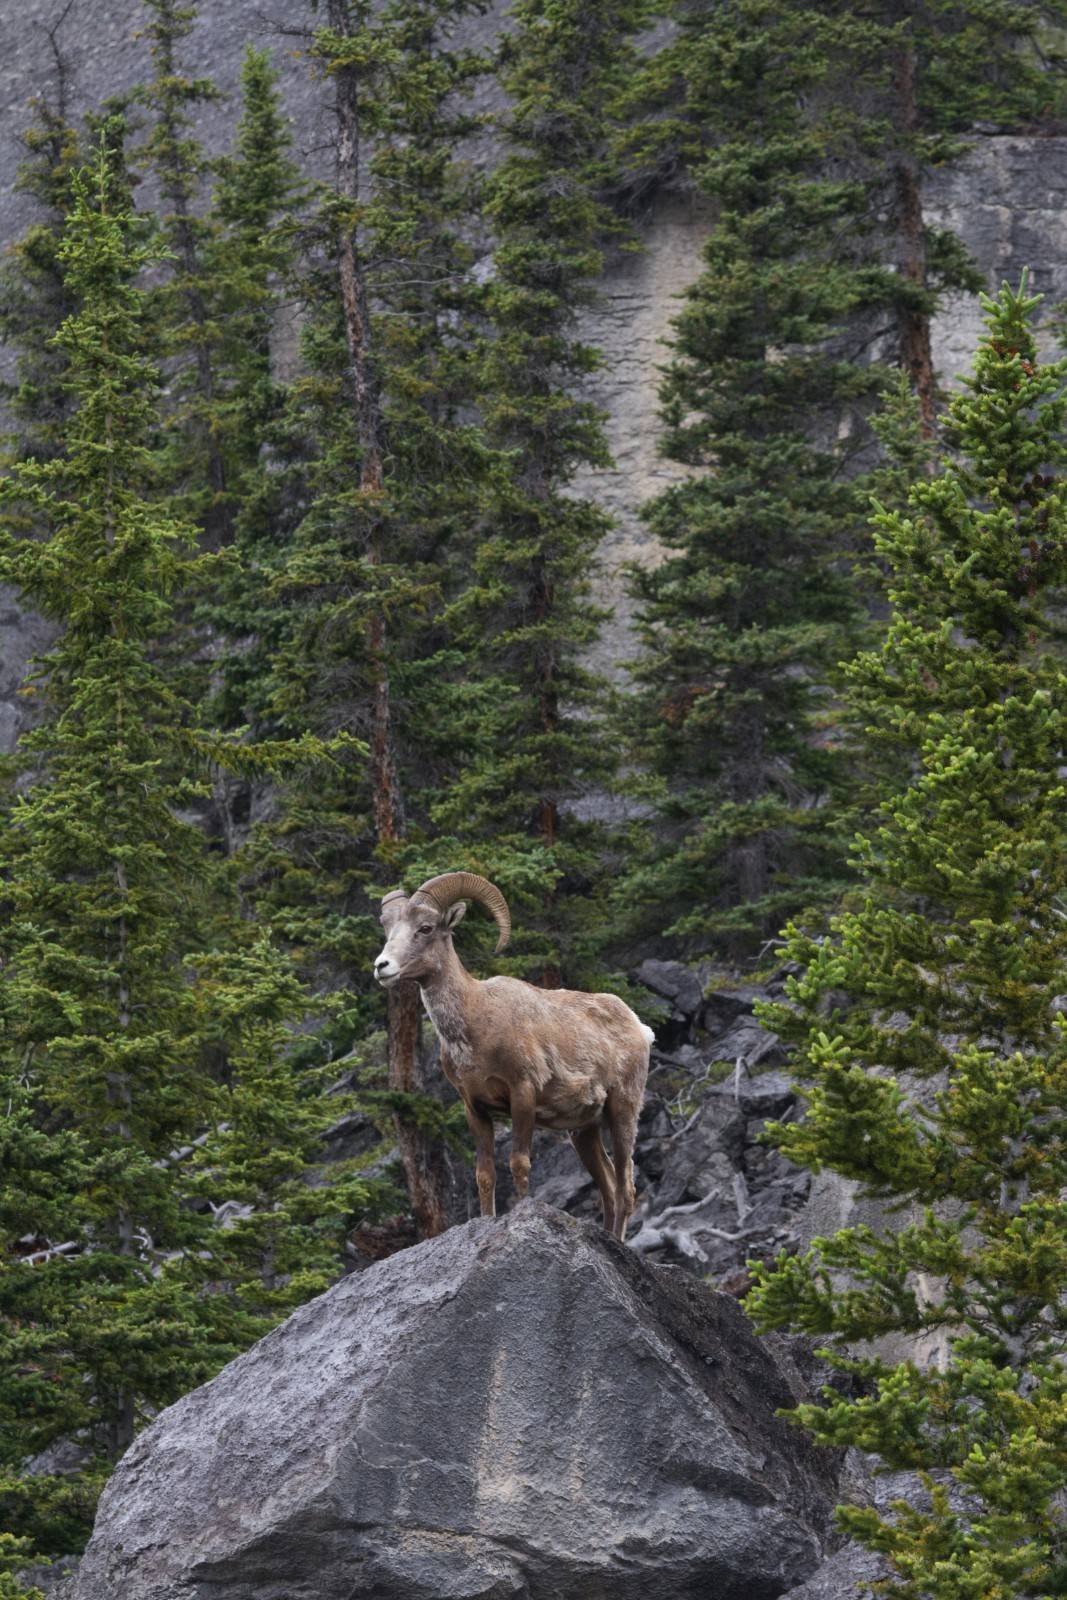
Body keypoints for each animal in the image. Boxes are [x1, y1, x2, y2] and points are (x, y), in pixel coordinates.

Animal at [375, 876, 652, 1235]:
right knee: (608, 1189)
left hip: (623, 1111)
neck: (476, 1024)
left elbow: (518, 1164)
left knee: (625, 1189)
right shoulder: (475, 1109)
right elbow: (485, 1174)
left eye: (425, 928)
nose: (382, 967)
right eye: (388, 929)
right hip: (583, 1131)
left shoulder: (522, 1095)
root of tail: (639, 1028)